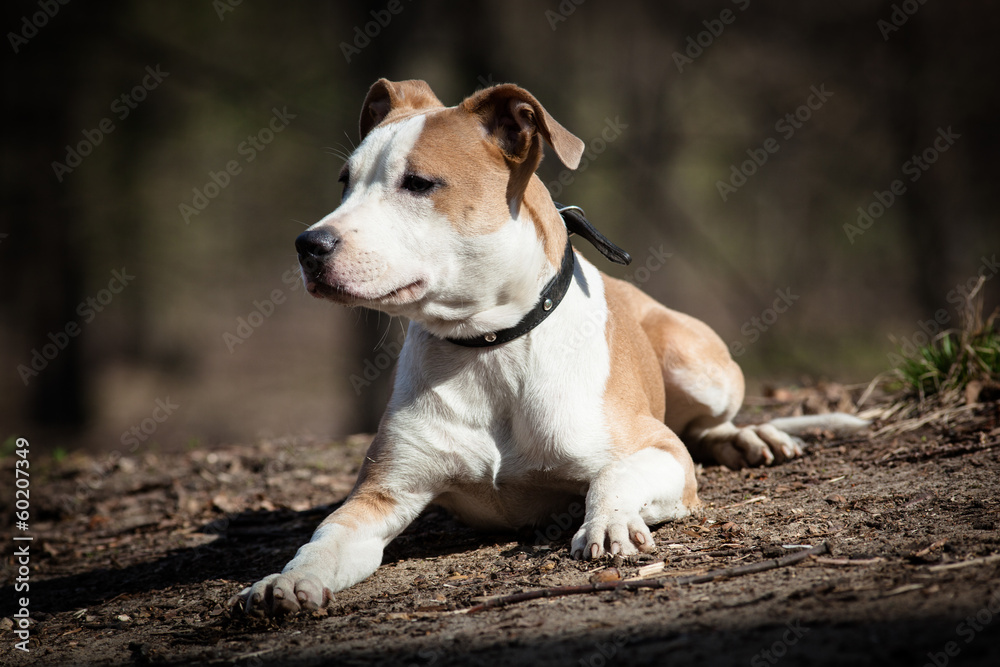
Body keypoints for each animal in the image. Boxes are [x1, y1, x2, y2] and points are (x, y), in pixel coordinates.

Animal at [234, 78, 868, 616]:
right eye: (345, 181)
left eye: (418, 183)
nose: (308, 245)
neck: (489, 345)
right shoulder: (382, 494)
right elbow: (324, 537)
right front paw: (286, 580)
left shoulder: (660, 452)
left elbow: (618, 475)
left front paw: (608, 521)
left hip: (698, 362)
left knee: (707, 425)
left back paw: (751, 437)